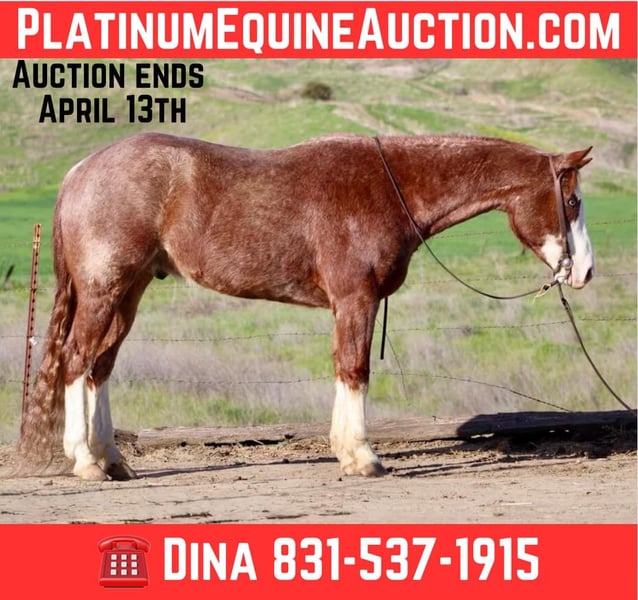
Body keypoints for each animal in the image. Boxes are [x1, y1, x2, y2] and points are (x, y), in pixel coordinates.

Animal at [19, 132, 594, 481]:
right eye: (571, 201)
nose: (585, 272)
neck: (390, 186)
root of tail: (81, 170)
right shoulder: (356, 300)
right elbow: (355, 370)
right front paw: (363, 457)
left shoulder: (349, 305)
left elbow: (343, 371)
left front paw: (346, 450)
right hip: (104, 291)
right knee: (76, 362)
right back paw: (86, 462)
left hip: (128, 293)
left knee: (100, 369)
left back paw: (112, 459)